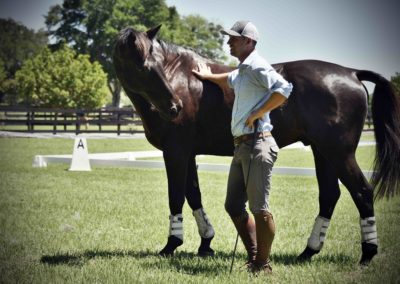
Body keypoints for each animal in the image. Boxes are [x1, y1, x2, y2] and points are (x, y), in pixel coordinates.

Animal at [112, 25, 400, 266]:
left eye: (157, 65)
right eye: (143, 67)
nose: (175, 107)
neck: (183, 79)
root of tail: (351, 72)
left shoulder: (175, 153)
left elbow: (176, 197)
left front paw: (171, 245)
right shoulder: (187, 153)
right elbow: (194, 195)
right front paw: (206, 243)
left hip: (339, 153)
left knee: (362, 192)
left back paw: (367, 254)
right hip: (322, 152)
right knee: (329, 196)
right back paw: (308, 252)